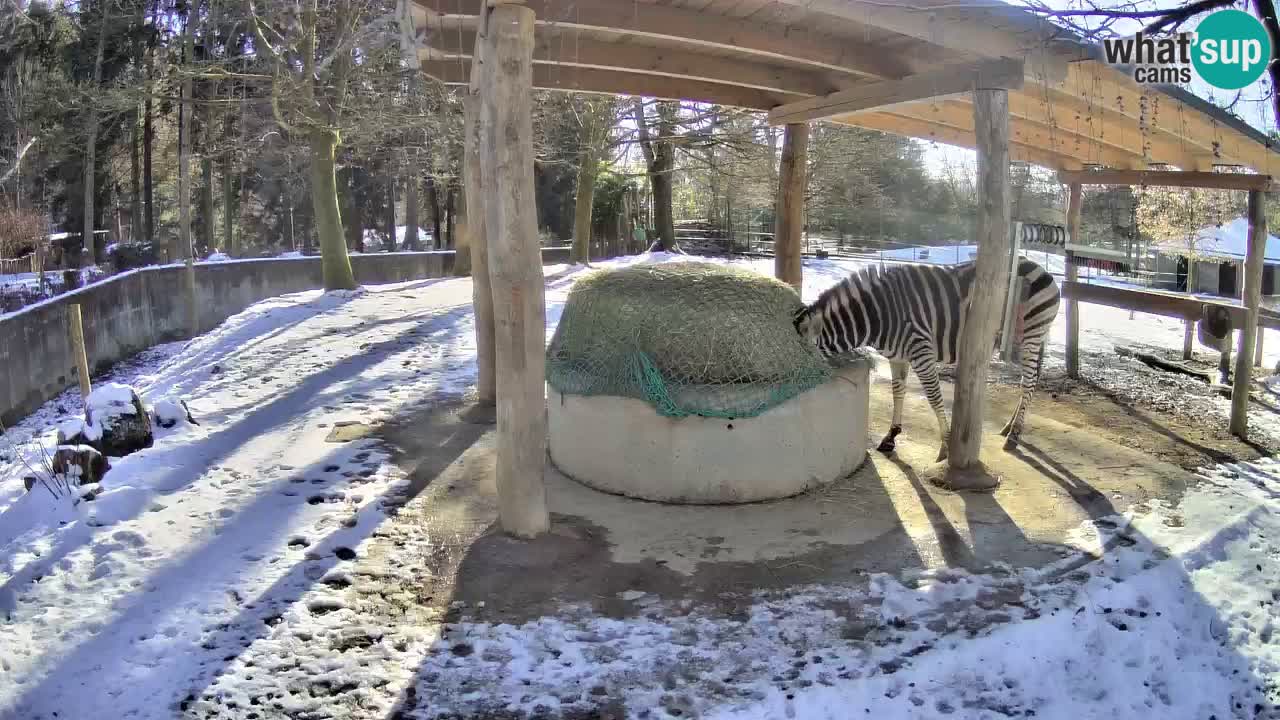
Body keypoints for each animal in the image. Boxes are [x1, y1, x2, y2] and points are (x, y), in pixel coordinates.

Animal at [788, 257, 1059, 458]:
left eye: (797, 356)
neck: (877, 316)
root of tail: (1038, 266)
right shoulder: (897, 356)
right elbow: (898, 391)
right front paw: (891, 436)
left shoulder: (921, 352)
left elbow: (934, 397)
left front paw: (946, 446)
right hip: (1022, 340)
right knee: (1029, 381)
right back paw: (1009, 427)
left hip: (1032, 332)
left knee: (1029, 383)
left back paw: (1014, 435)